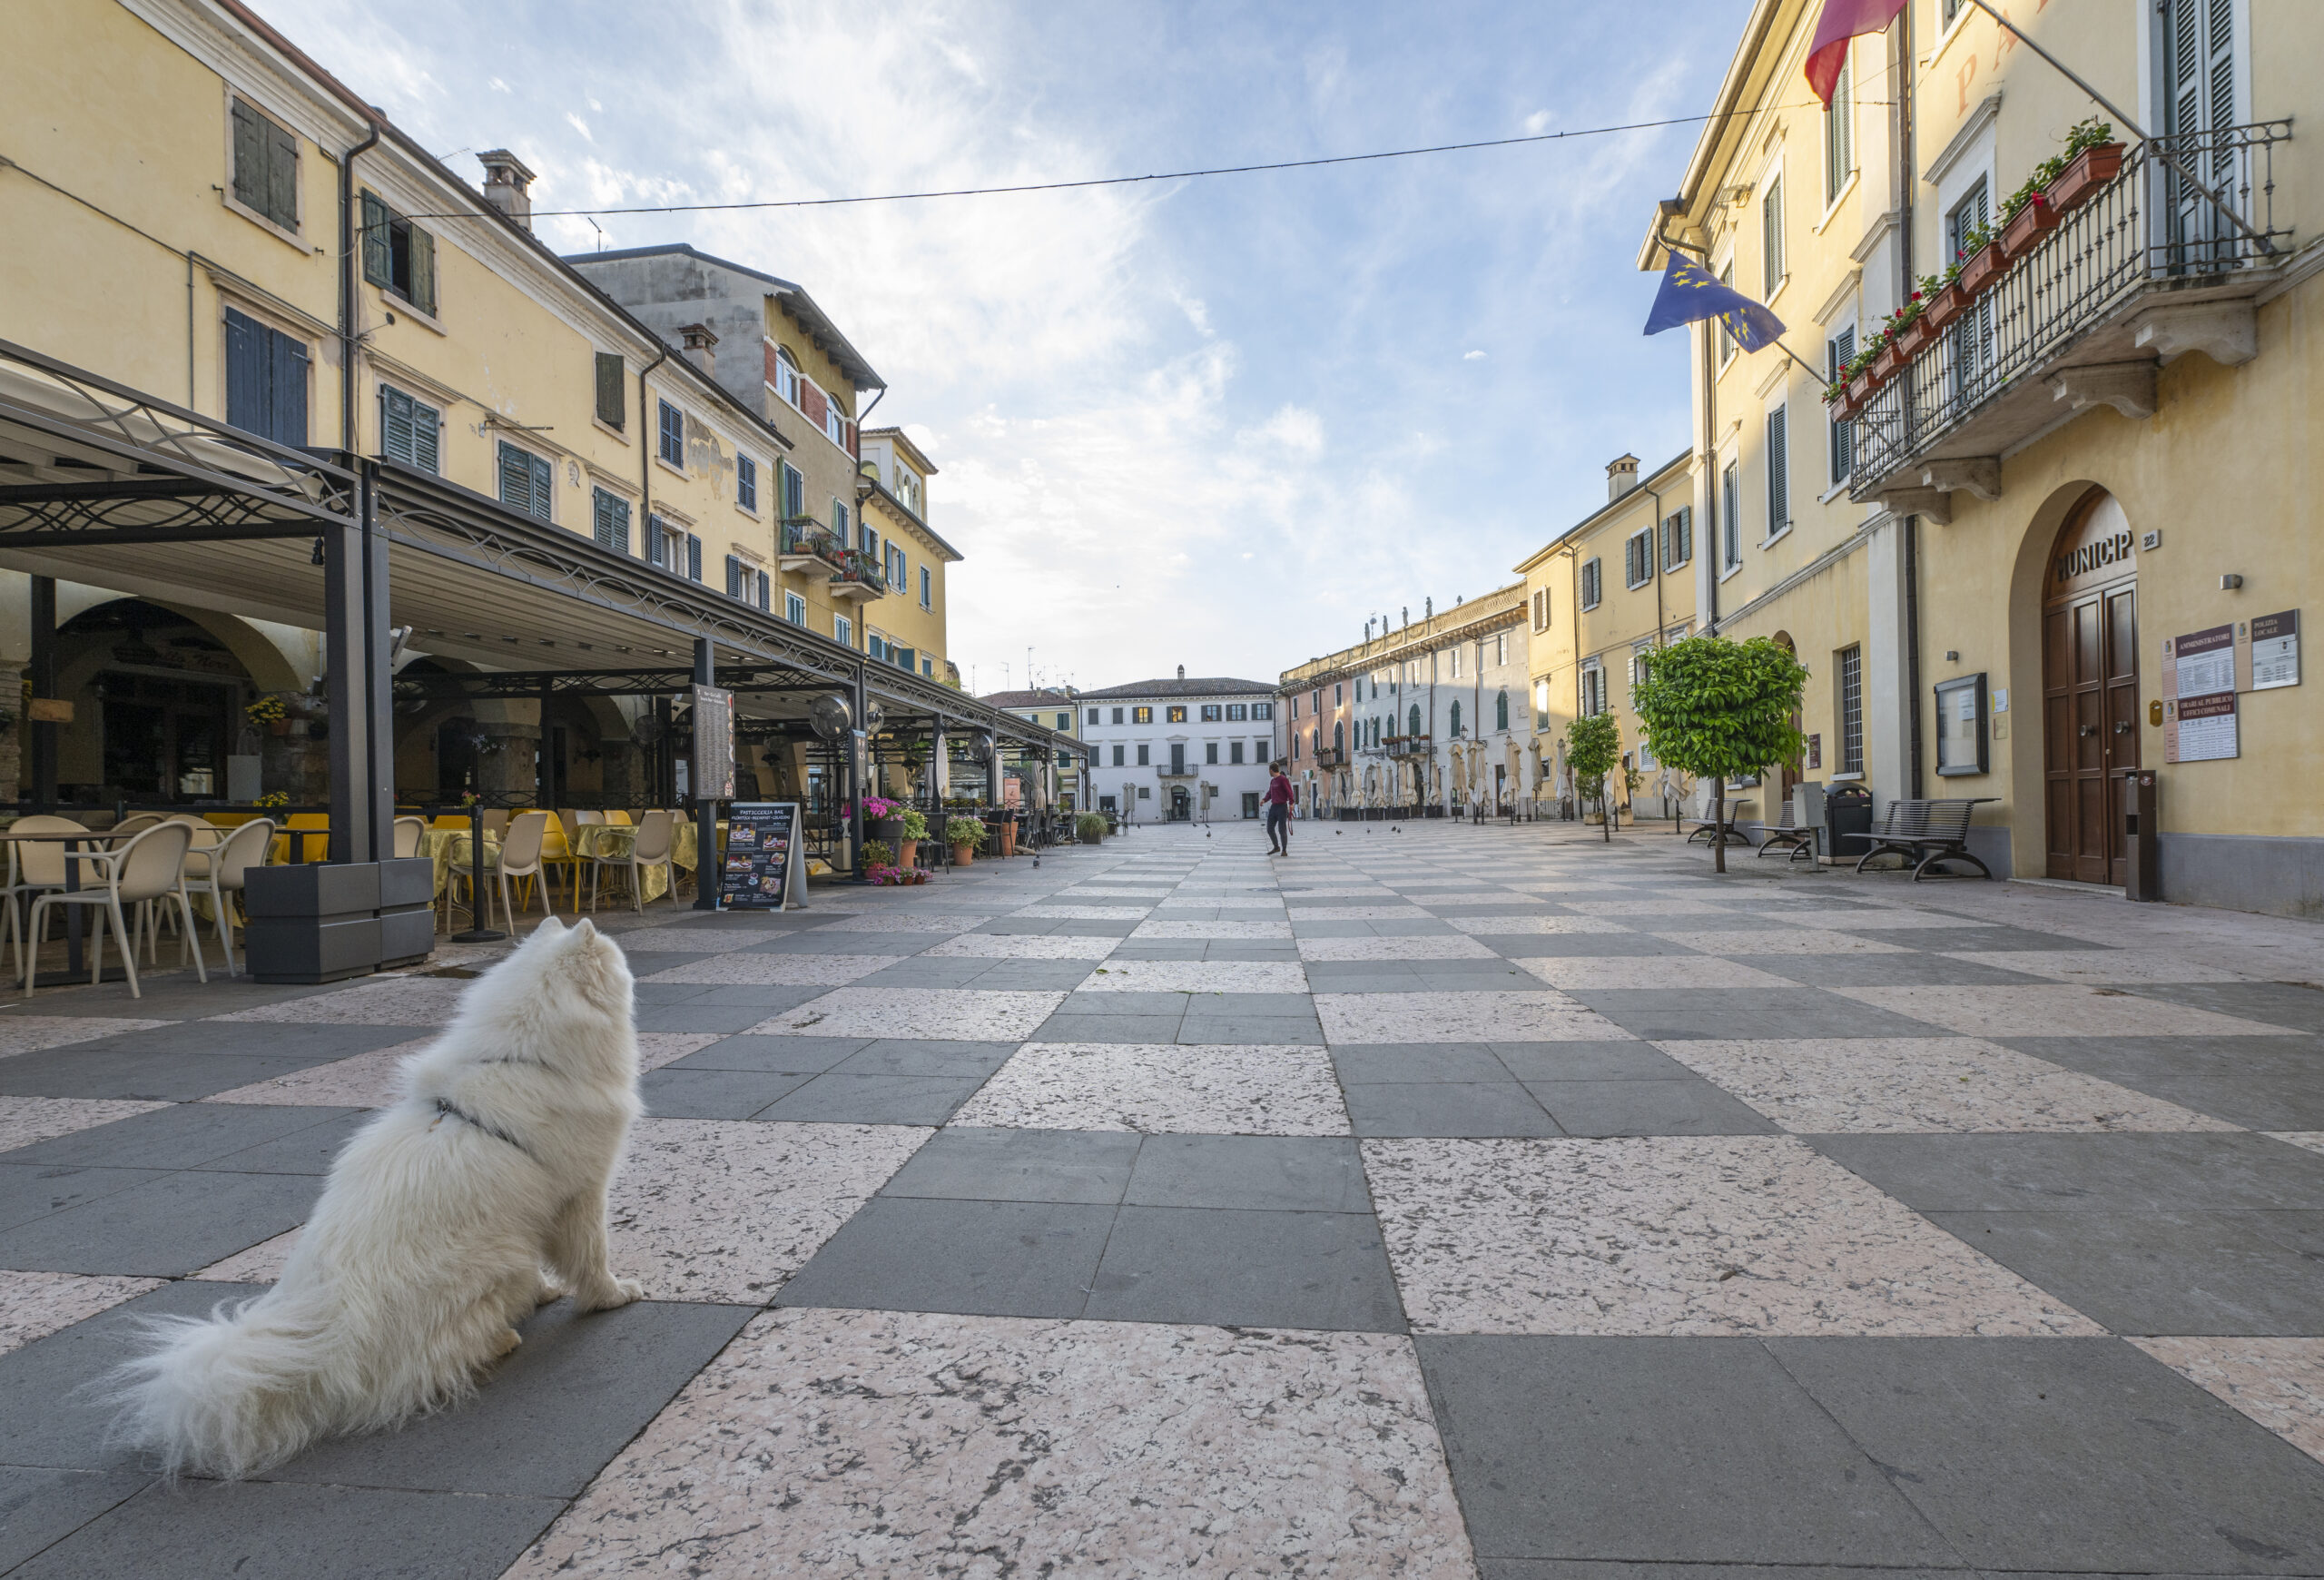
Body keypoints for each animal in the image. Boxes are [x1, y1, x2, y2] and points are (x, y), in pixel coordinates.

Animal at [112, 915, 645, 1477]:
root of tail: (334, 1335)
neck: (521, 1058)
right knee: (435, 1357)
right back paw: (500, 1337)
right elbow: (592, 1258)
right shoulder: (583, 1193)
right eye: (618, 960)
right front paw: (614, 1296)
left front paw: (549, 1289)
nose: (631, 970)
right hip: (491, 1259)